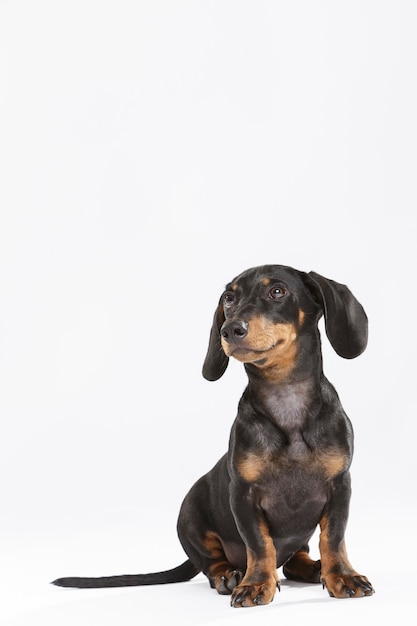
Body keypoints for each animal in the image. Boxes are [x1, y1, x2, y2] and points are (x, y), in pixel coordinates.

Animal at [52, 264, 374, 604]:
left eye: (277, 291)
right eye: (229, 299)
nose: (230, 330)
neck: (286, 399)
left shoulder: (339, 486)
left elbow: (333, 538)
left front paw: (342, 576)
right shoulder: (243, 495)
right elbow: (259, 544)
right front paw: (256, 583)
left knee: (294, 558)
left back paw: (313, 567)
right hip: (190, 516)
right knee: (214, 562)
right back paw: (230, 576)